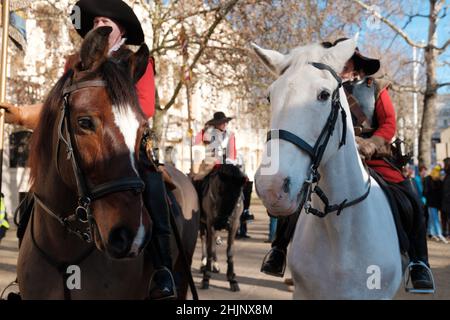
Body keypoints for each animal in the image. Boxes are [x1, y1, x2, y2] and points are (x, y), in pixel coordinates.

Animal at [198, 164, 246, 292]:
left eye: (238, 195)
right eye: (220, 190)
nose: (223, 221)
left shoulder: (234, 225)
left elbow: (229, 251)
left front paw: (232, 279)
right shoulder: (211, 223)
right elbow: (210, 249)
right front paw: (206, 278)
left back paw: (215, 265)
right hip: (203, 224)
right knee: (204, 240)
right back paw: (203, 263)